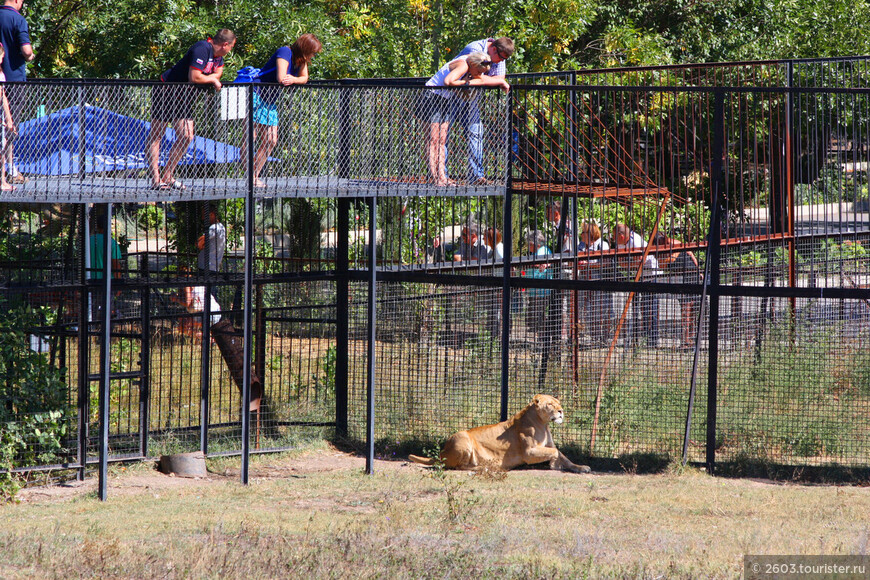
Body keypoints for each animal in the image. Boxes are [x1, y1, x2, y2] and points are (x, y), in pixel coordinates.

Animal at [410, 392, 592, 474]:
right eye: (550, 405)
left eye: (558, 403)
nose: (561, 411)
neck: (543, 424)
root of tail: (442, 452)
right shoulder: (528, 452)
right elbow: (555, 452)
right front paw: (555, 465)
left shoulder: (546, 446)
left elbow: (562, 454)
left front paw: (581, 467)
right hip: (462, 437)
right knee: (458, 466)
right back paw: (485, 468)